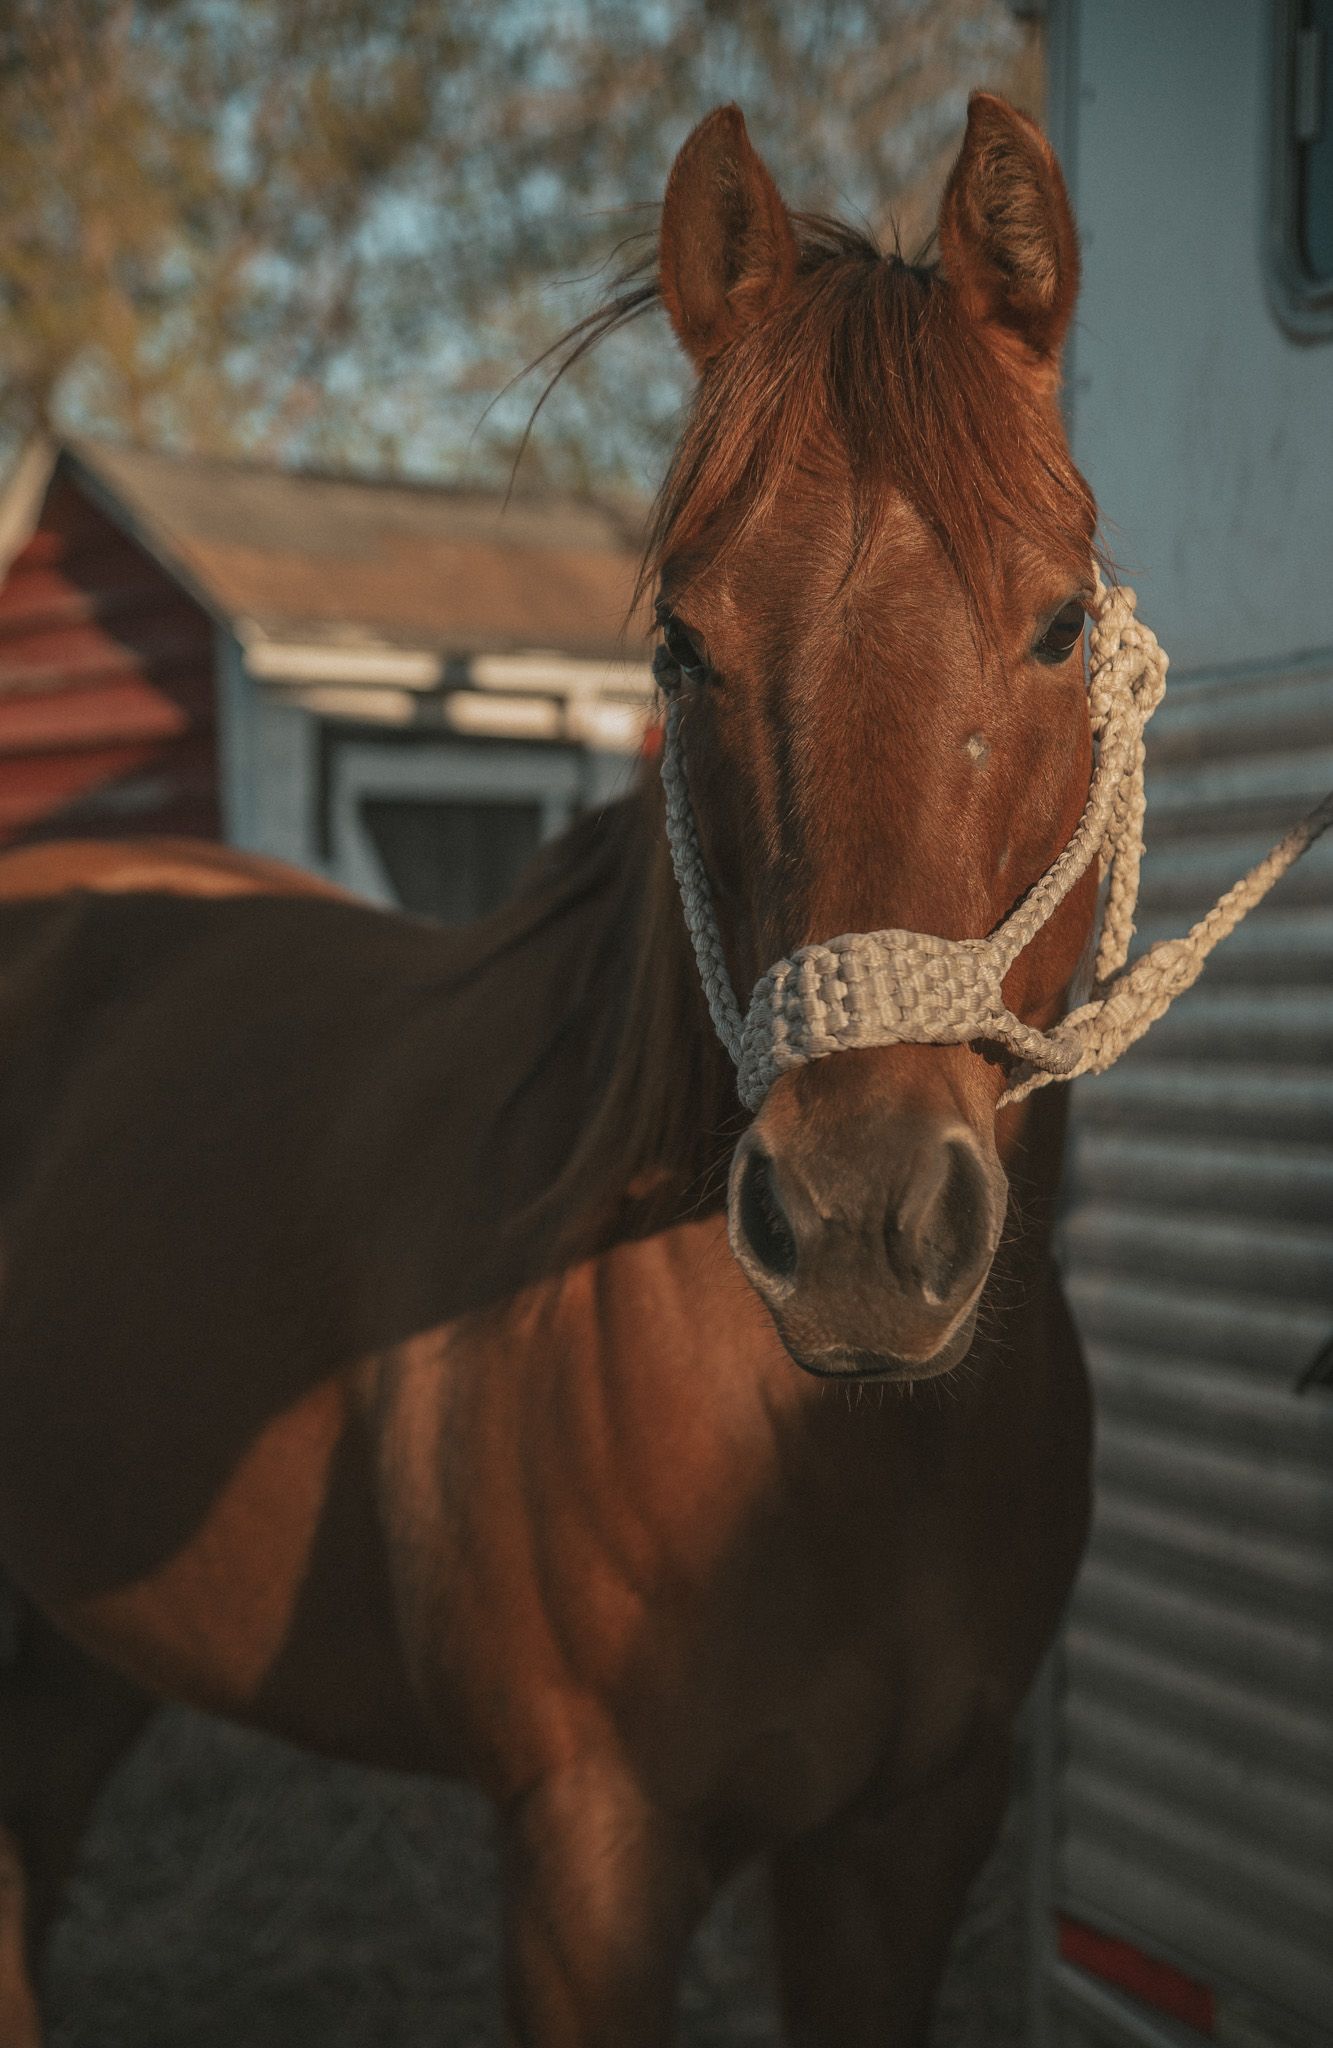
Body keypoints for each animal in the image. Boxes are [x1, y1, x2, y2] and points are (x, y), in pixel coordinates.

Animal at [0, 93, 1100, 2046]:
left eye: (1060, 623)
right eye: (678, 643)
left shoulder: (911, 1836)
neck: (839, 1453)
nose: (859, 1226)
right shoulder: (590, 1856)